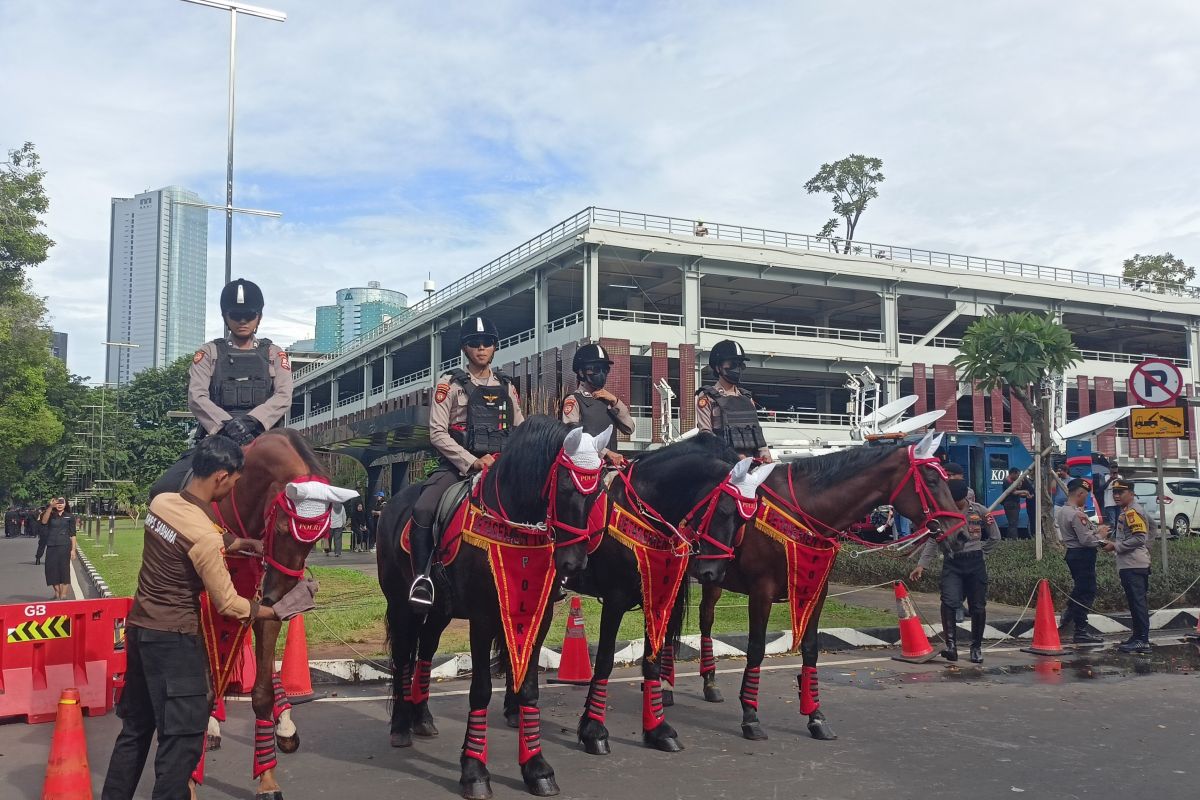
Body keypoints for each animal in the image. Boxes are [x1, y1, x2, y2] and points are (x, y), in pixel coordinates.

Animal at [188, 431, 348, 800]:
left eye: (318, 539)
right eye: (284, 529)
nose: (281, 594)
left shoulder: (264, 606)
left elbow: (261, 691)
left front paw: (268, 777)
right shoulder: (204, 601)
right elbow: (208, 676)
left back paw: (284, 723)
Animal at [379, 419, 609, 800]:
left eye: (596, 493)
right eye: (564, 486)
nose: (574, 564)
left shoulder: (538, 614)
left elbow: (529, 686)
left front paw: (536, 767)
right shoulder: (483, 618)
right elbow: (481, 690)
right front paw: (474, 772)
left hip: (440, 610)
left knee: (425, 652)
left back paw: (421, 717)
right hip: (400, 605)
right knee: (402, 658)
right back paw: (399, 727)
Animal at [571, 434, 777, 753]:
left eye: (745, 521)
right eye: (723, 511)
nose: (713, 573)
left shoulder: (656, 596)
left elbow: (651, 662)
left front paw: (658, 730)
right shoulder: (615, 599)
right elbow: (604, 660)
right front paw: (594, 732)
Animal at [696, 431, 964, 743]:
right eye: (931, 481)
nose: (961, 535)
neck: (802, 510)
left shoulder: (817, 590)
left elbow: (811, 648)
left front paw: (815, 717)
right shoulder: (761, 591)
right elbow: (756, 648)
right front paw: (750, 716)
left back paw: (709, 684)